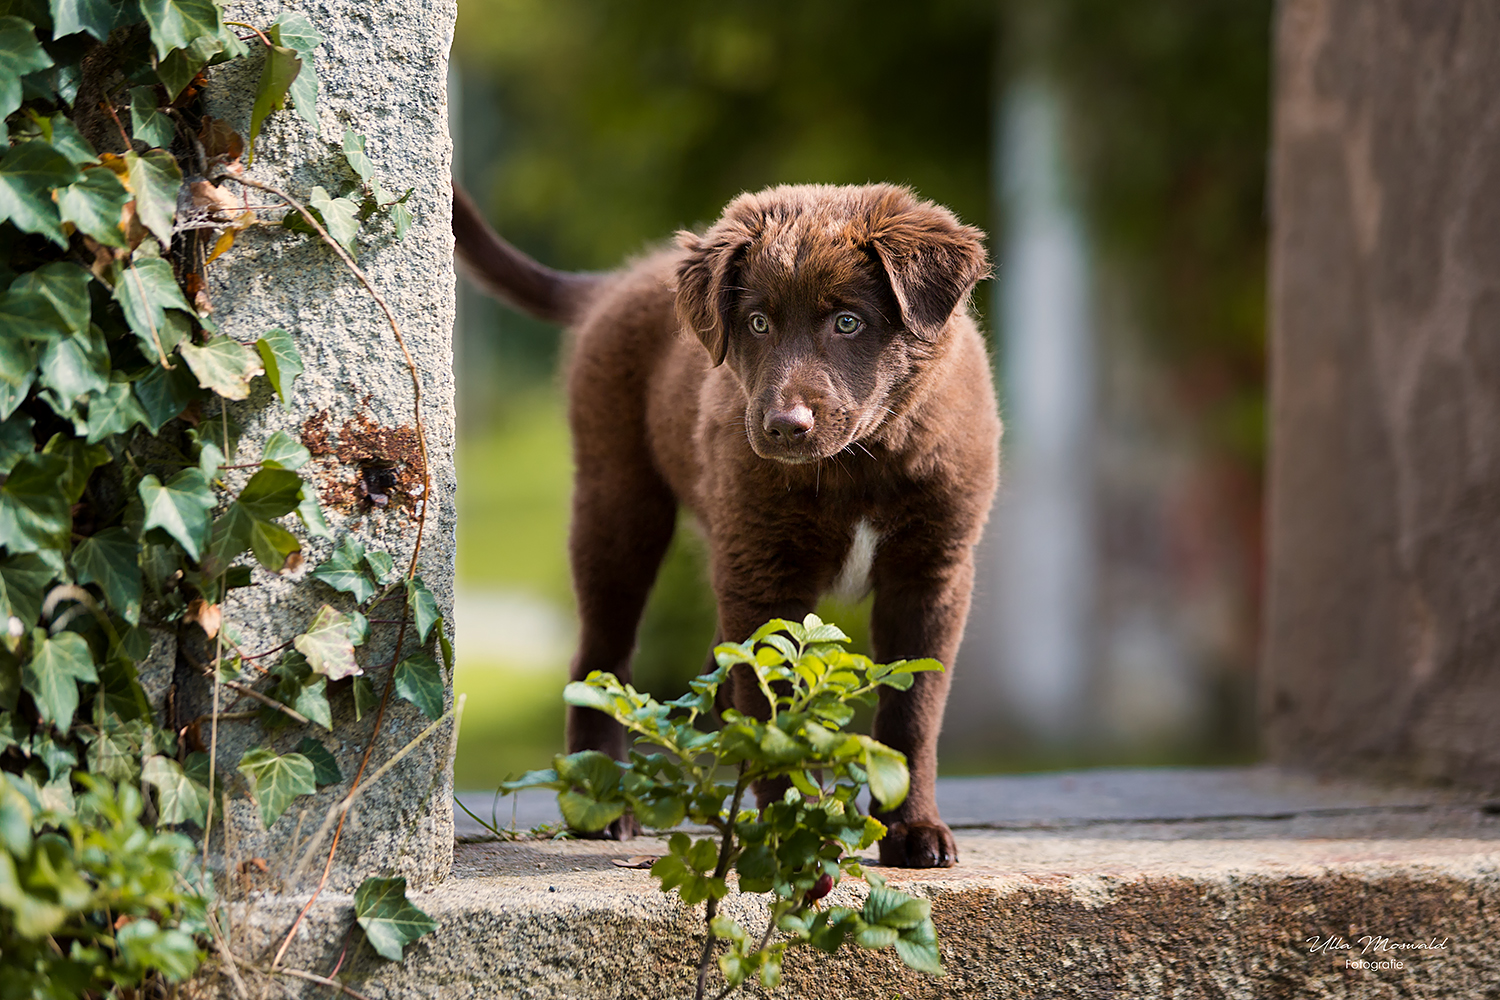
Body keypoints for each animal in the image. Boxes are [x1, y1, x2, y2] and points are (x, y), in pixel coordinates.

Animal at [450, 182, 1002, 869]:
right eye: (758, 323)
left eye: (848, 322)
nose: (785, 428)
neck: (859, 465)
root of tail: (619, 281)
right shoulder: (764, 571)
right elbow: (772, 704)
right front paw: (793, 829)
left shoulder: (931, 573)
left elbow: (913, 711)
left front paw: (912, 828)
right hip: (618, 503)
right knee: (599, 656)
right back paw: (601, 801)